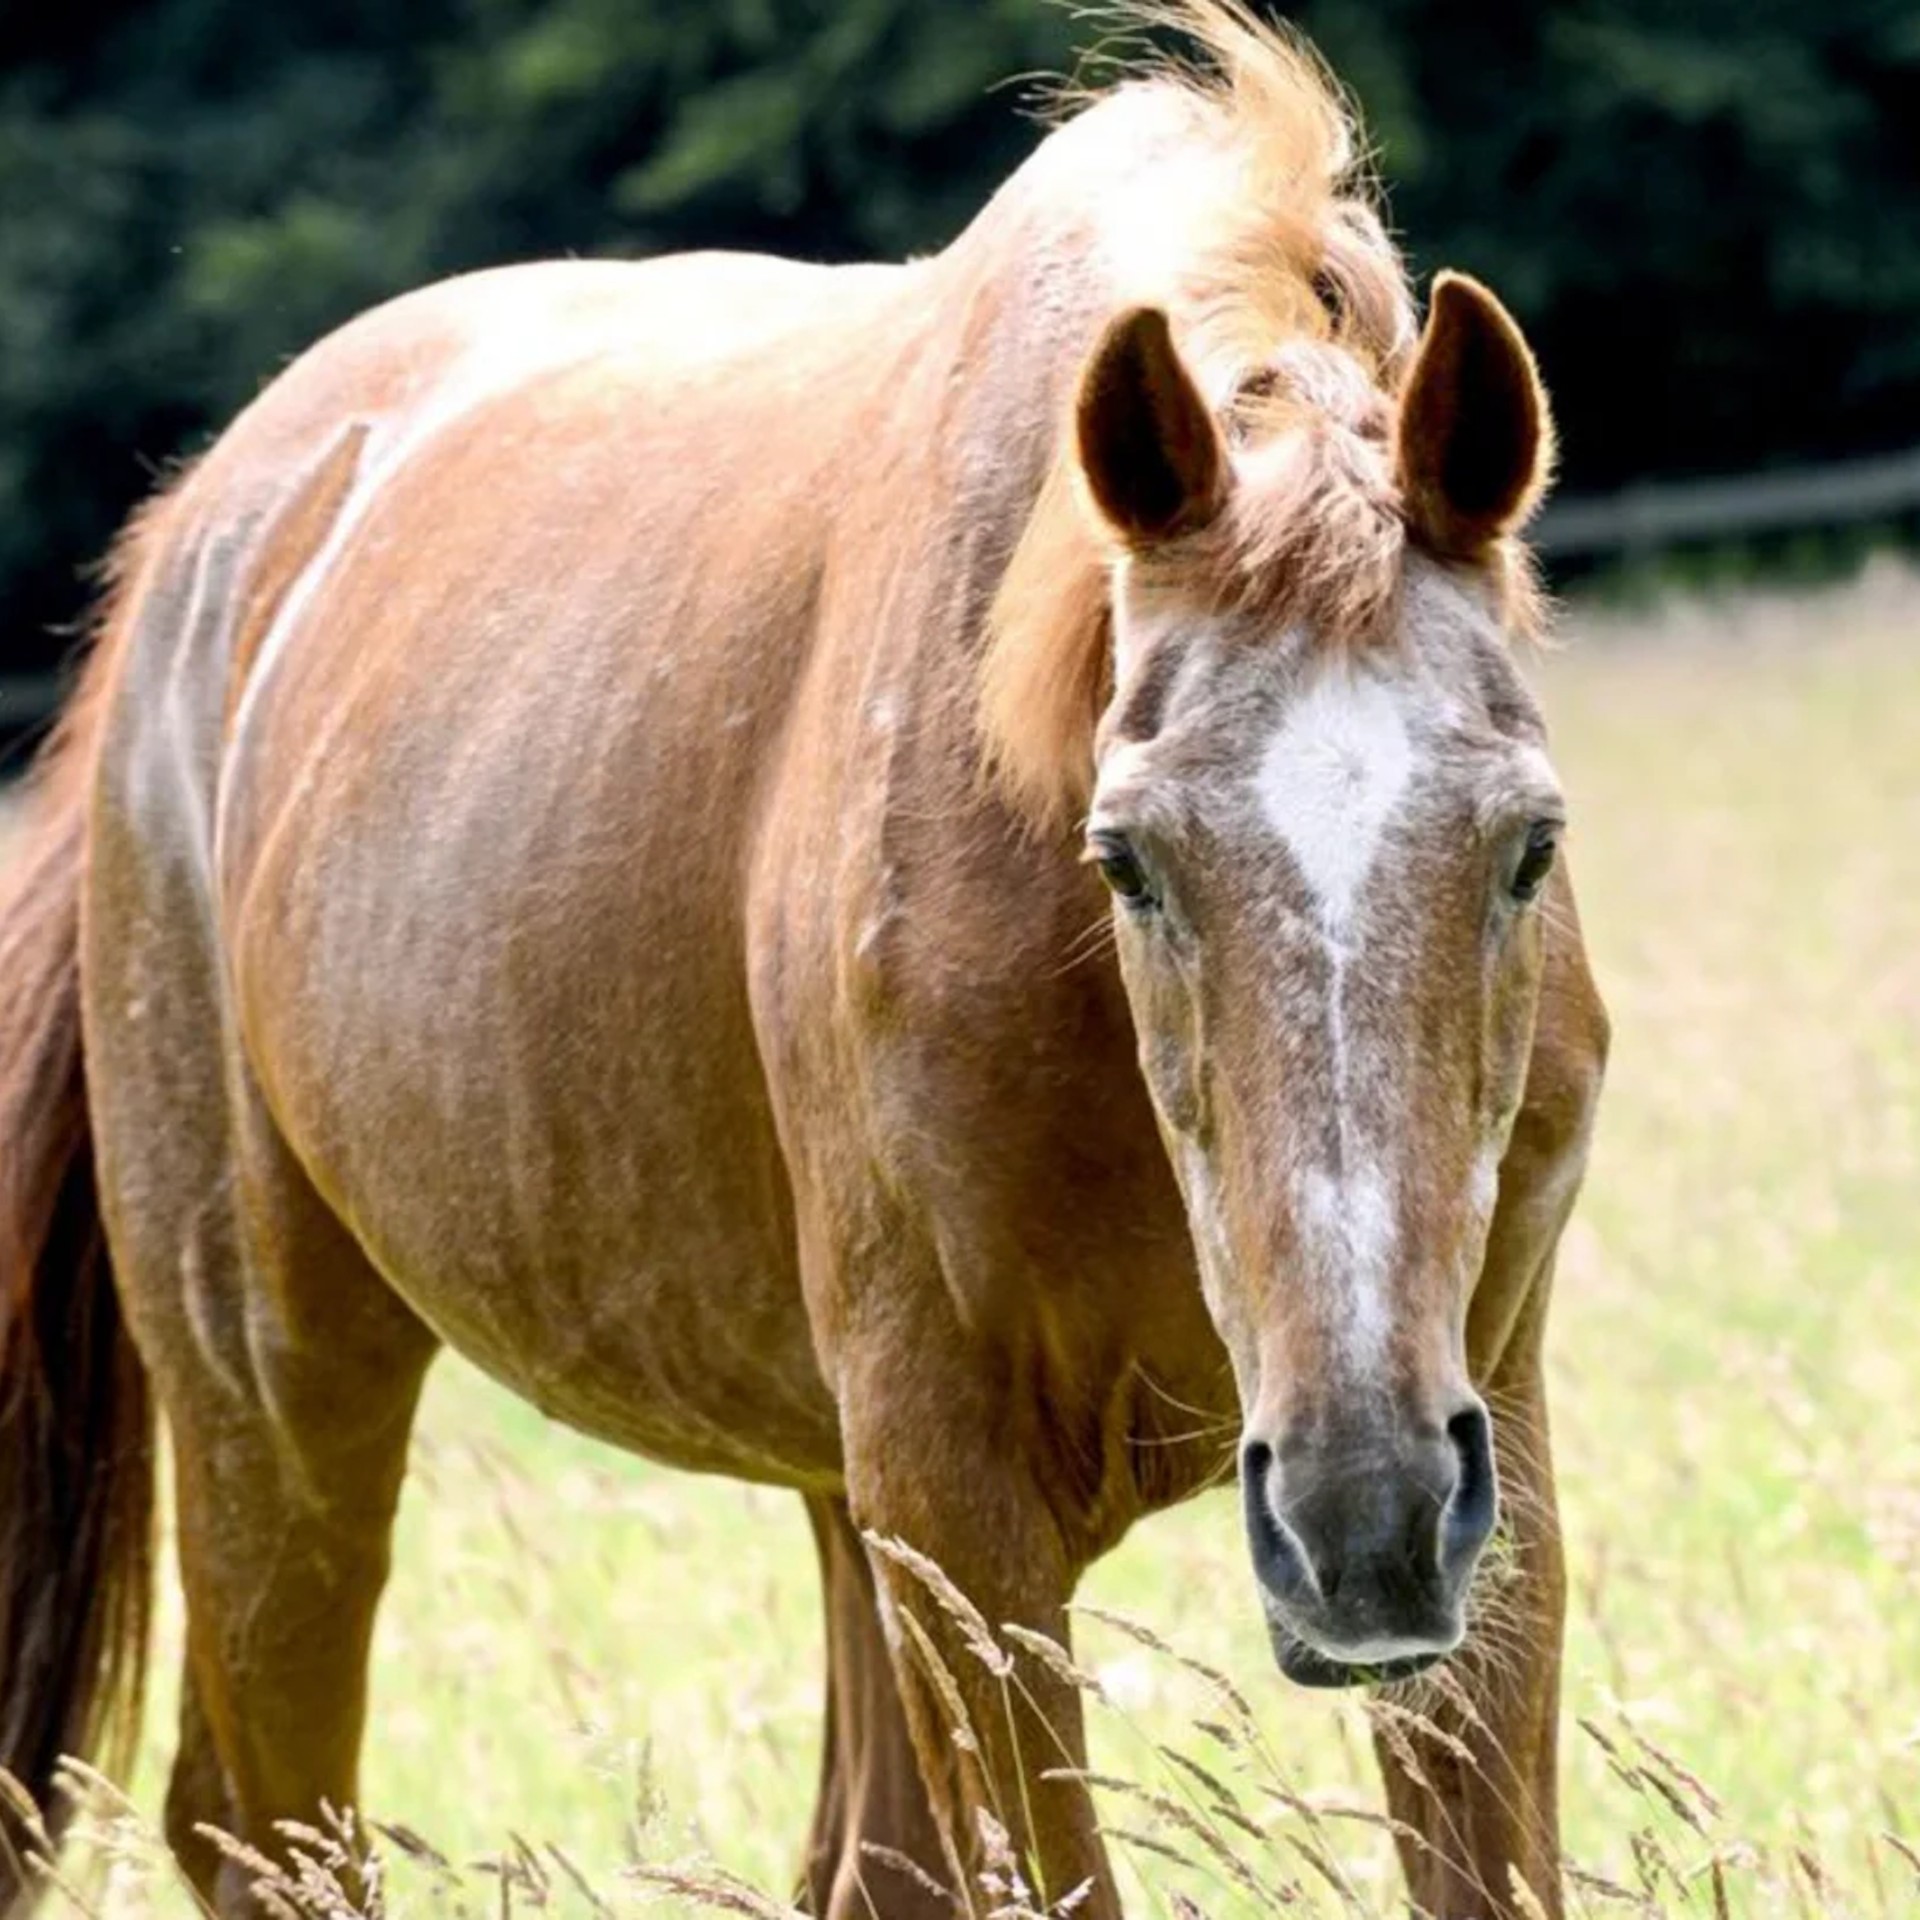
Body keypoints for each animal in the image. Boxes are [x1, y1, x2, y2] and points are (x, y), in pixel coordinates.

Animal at [0, 5, 1608, 1915]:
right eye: (1130, 863)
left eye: (1529, 845)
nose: (1359, 1513)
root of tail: (195, 551)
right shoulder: (954, 1511)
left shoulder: (1487, 1465)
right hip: (274, 1397)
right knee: (256, 1817)